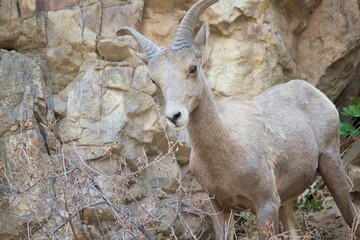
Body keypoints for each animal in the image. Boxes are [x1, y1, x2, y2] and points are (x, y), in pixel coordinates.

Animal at [116, 0, 358, 238]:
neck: (228, 152)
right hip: (286, 202)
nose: (174, 116)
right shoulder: (220, 208)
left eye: (193, 68)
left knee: (352, 219)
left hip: (331, 166)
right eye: (154, 80)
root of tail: (314, 93)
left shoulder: (265, 206)